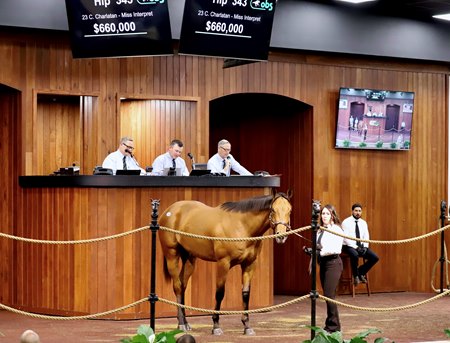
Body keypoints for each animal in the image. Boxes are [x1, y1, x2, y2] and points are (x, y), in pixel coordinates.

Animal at [158, 192, 292, 338]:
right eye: (273, 210)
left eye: (289, 210)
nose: (281, 236)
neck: (242, 226)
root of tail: (169, 211)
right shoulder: (223, 263)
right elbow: (220, 293)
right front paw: (216, 325)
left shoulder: (249, 264)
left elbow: (246, 294)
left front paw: (247, 326)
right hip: (172, 256)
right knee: (177, 287)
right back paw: (181, 324)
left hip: (189, 259)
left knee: (182, 286)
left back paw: (185, 323)